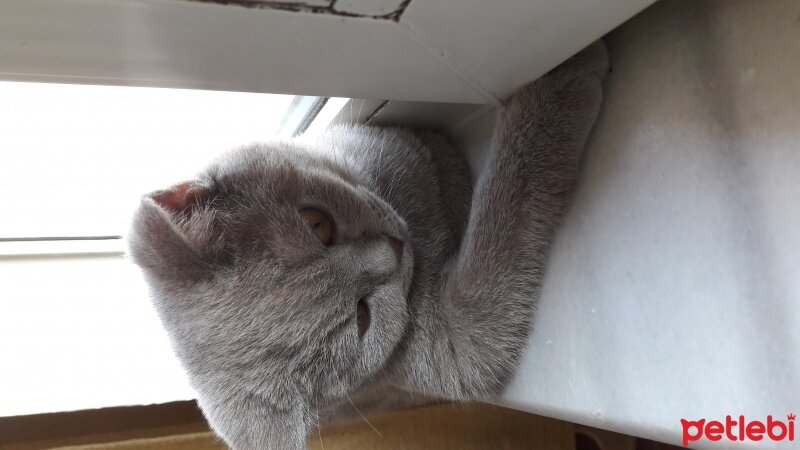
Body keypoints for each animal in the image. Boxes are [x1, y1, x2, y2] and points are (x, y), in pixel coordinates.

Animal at [130, 41, 608, 446]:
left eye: (318, 224)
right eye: (362, 318)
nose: (393, 251)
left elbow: (422, 154)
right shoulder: (456, 354)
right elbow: (501, 215)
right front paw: (564, 75)